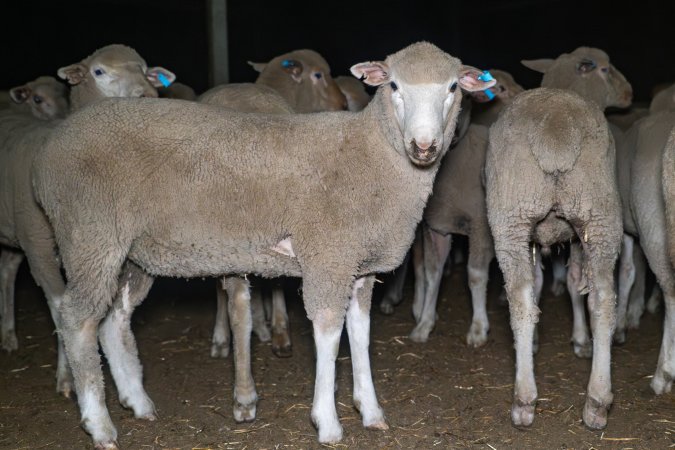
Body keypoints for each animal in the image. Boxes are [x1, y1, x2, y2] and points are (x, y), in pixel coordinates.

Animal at [0, 42, 177, 402]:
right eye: (99, 71)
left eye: (144, 68)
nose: (147, 94)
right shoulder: (40, 249)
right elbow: (59, 308)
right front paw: (67, 377)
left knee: (7, 270)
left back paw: (9, 335)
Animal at [30, 43, 496, 446]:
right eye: (394, 86)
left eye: (452, 88)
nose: (424, 146)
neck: (370, 154)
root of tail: (49, 151)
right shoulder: (328, 256)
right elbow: (329, 335)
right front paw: (327, 422)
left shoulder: (359, 264)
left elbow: (360, 334)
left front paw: (371, 411)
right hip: (90, 235)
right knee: (76, 319)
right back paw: (100, 425)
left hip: (132, 253)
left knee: (114, 318)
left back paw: (138, 403)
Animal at [486, 47, 632, 430]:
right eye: (607, 70)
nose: (628, 95)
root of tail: (555, 129)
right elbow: (571, 283)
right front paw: (579, 339)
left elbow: (549, 285)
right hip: (597, 214)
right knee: (603, 299)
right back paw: (596, 402)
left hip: (513, 218)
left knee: (521, 299)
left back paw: (525, 402)